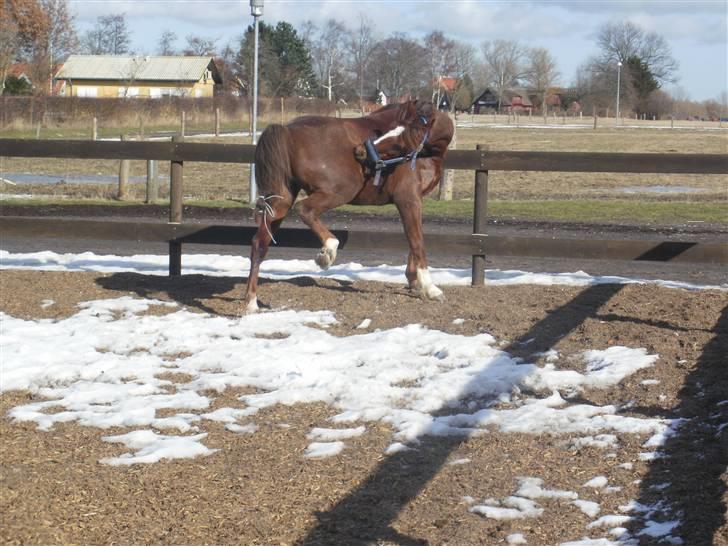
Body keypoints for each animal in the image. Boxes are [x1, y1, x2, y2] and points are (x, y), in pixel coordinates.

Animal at [245, 99, 450, 308]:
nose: (361, 151)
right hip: (342, 190)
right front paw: (431, 289)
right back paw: (327, 252)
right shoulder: (407, 198)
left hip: (282, 200)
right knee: (305, 210)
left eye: (402, 140)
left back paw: (251, 302)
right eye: (393, 132)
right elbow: (417, 242)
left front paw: (414, 281)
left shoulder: (416, 200)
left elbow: (413, 237)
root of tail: (287, 129)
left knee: (259, 244)